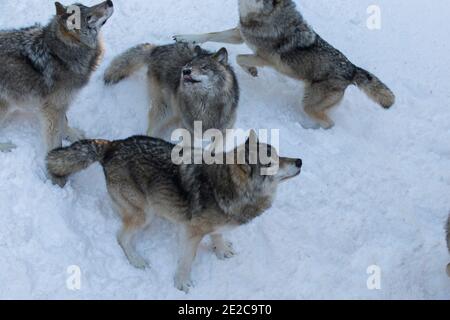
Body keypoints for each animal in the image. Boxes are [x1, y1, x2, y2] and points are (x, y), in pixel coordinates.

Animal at [0, 0, 114, 154]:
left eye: (85, 6)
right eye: (88, 17)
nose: (109, 2)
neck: (59, 56)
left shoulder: (61, 103)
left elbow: (64, 122)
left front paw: (72, 135)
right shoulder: (52, 108)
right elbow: (54, 140)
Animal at [47, 130, 302, 292]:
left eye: (279, 154)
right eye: (272, 162)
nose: (299, 161)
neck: (227, 187)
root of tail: (113, 144)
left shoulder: (212, 224)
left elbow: (218, 235)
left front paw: (221, 250)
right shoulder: (192, 232)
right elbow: (187, 261)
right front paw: (182, 284)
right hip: (144, 215)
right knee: (121, 237)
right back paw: (137, 261)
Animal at [104, 42, 241, 141]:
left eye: (204, 67)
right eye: (189, 64)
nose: (185, 70)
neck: (205, 105)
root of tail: (156, 49)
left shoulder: (223, 132)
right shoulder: (188, 130)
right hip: (165, 110)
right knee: (150, 131)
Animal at [174, 0, 396, 130]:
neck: (265, 18)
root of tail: (352, 69)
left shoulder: (266, 60)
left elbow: (240, 59)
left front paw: (251, 71)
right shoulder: (239, 33)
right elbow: (210, 34)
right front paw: (184, 37)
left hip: (308, 104)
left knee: (329, 123)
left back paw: (307, 129)